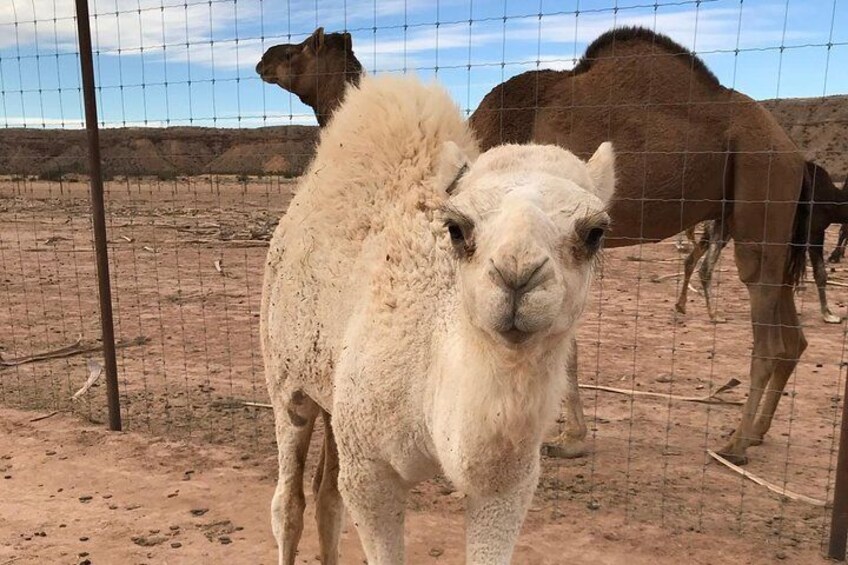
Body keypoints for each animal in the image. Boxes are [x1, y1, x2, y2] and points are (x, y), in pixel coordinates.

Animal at [256, 26, 808, 464]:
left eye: (300, 50)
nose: (262, 59)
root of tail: (794, 149)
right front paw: (568, 435)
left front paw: (567, 439)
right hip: (773, 222)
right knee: (791, 333)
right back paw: (759, 432)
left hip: (761, 191)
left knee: (767, 334)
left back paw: (735, 442)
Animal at [260, 75, 616, 564]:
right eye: (457, 228)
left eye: (595, 232)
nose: (517, 273)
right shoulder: (370, 471)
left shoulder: (509, 484)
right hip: (286, 381)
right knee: (288, 502)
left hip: (334, 396)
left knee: (327, 497)